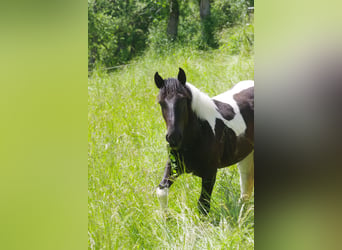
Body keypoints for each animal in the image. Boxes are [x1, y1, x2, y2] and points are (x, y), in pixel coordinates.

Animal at [154, 68, 252, 215]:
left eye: (183, 100)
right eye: (161, 102)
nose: (173, 138)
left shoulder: (210, 173)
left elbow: (203, 205)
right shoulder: (174, 166)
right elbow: (161, 191)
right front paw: (167, 219)